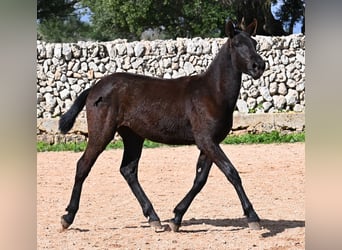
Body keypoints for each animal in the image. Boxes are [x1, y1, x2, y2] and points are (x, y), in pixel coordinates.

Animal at [58, 18, 266, 231]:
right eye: (237, 44)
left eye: (254, 43)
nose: (259, 65)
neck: (212, 93)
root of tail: (94, 88)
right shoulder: (206, 140)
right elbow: (231, 172)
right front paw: (252, 216)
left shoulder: (210, 143)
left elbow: (200, 179)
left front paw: (177, 217)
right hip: (102, 133)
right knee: (83, 165)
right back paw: (68, 217)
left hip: (133, 136)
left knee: (128, 170)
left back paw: (153, 218)